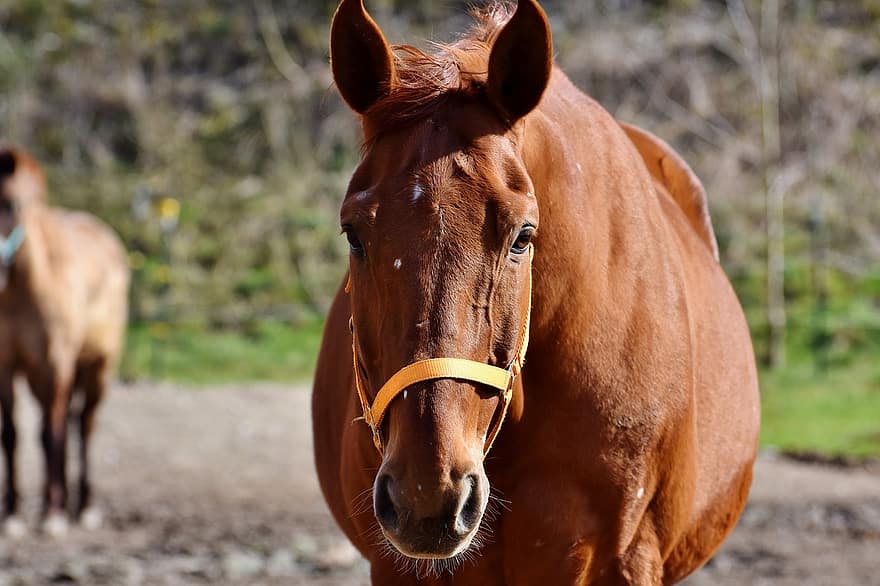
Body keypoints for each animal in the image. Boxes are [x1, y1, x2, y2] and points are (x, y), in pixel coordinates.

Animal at [0, 145, 130, 532]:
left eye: (11, 204)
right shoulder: (5, 364)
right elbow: (11, 435)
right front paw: (12, 515)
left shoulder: (55, 363)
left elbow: (49, 434)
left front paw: (53, 516)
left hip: (97, 367)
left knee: (82, 425)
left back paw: (82, 506)